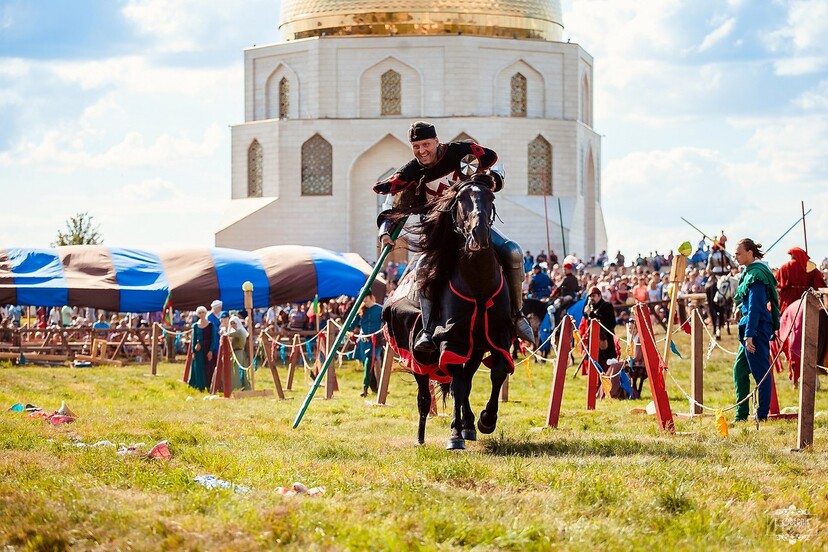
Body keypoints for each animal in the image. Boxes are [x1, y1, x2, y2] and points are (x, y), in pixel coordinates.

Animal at [380, 175, 512, 450]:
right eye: (460, 199)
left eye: (490, 197)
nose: (479, 234)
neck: (478, 284)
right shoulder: (453, 339)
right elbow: (458, 387)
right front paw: (454, 435)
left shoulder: (498, 335)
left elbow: (497, 372)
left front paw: (486, 420)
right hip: (418, 361)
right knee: (426, 397)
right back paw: (422, 438)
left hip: (474, 350)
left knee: (467, 382)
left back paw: (469, 425)